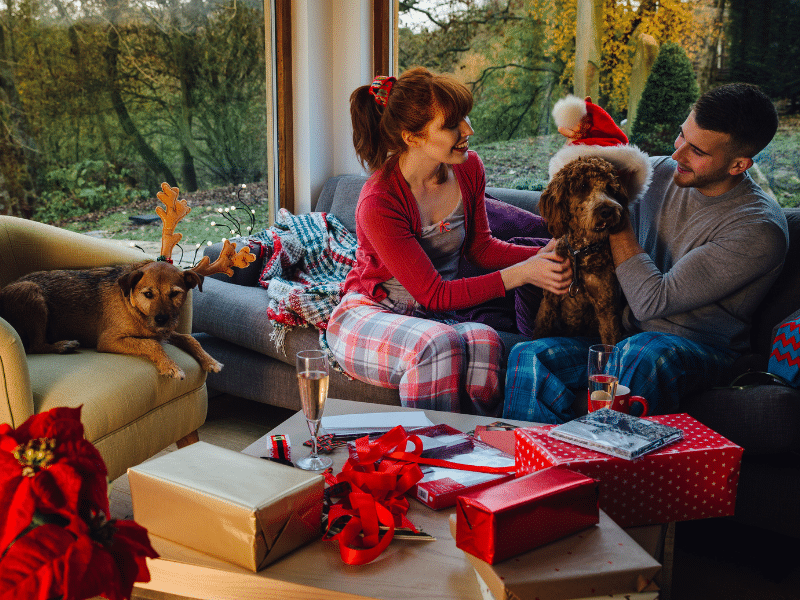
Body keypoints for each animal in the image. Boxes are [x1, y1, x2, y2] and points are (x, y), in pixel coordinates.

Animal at [0, 258, 222, 380]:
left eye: (175, 294)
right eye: (148, 294)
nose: (161, 319)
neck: (132, 306)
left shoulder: (165, 332)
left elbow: (189, 338)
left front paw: (209, 360)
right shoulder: (109, 340)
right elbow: (150, 344)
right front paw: (171, 366)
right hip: (31, 291)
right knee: (35, 346)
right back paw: (63, 345)